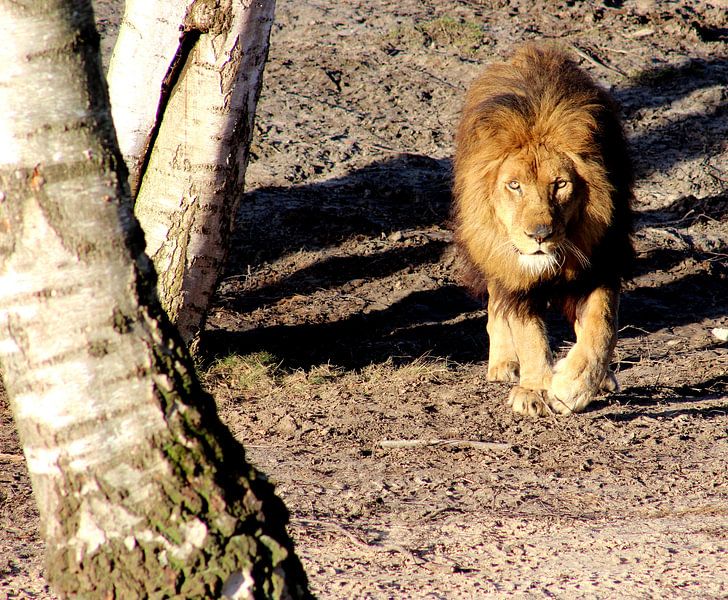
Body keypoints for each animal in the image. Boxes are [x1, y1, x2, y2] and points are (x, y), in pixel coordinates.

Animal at [453, 43, 634, 416]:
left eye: (560, 184)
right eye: (514, 186)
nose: (539, 235)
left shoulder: (602, 260)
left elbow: (602, 327)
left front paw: (573, 385)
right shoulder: (516, 276)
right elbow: (528, 334)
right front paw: (535, 389)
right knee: (497, 308)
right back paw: (504, 364)